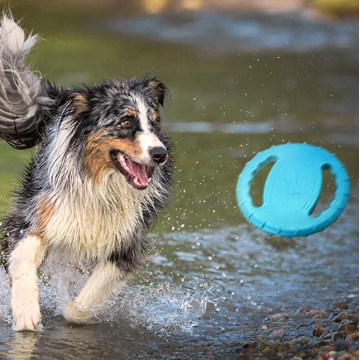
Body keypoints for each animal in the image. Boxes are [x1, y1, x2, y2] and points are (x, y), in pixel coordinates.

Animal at [0, 14, 173, 332]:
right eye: (125, 122)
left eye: (154, 123)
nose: (160, 154)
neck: (100, 183)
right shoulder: (37, 216)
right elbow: (23, 259)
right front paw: (26, 312)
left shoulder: (126, 243)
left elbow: (79, 307)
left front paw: (70, 309)